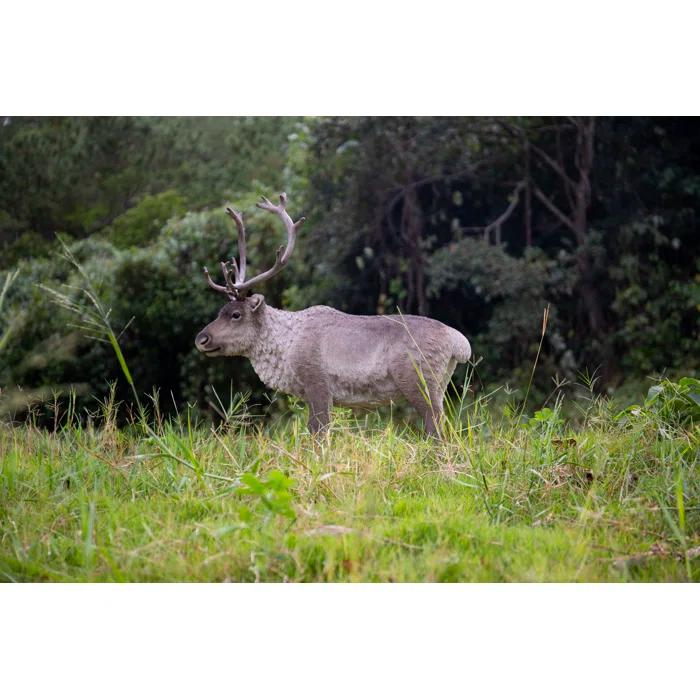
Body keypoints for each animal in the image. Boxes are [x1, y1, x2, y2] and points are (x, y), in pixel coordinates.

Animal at [195, 193, 472, 435]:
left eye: (236, 314)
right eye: (221, 311)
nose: (201, 339)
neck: (285, 347)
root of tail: (460, 344)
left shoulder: (317, 383)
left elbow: (318, 434)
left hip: (419, 381)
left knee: (436, 429)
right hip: (440, 384)